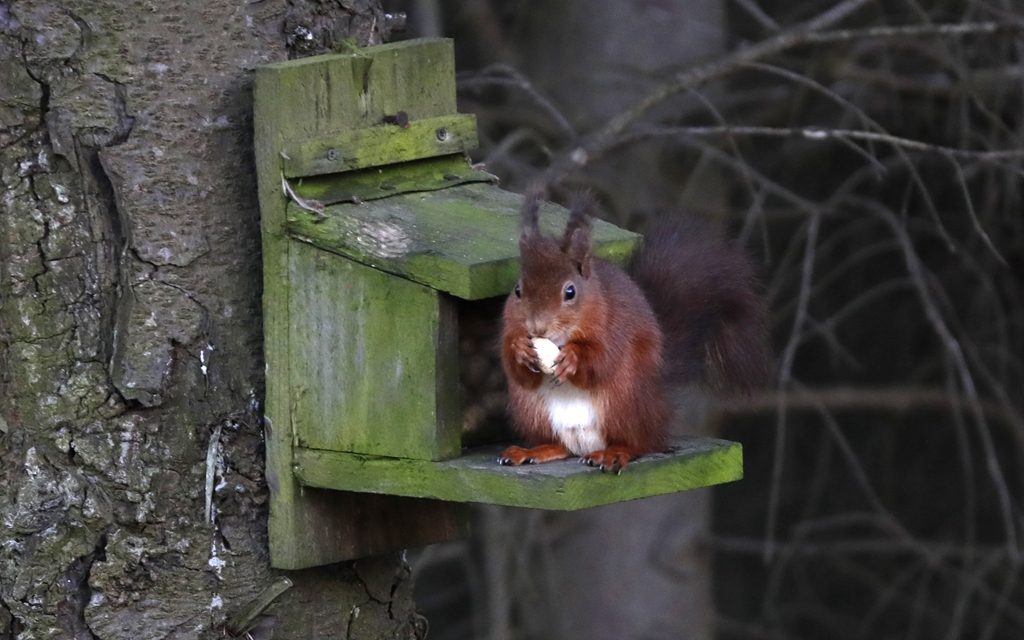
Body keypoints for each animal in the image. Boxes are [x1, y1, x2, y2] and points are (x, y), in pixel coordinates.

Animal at [497, 193, 770, 473]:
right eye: (517, 290)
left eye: (570, 291)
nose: (537, 327)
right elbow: (516, 369)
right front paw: (520, 348)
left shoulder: (615, 326)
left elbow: (602, 360)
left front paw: (572, 358)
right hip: (531, 410)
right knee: (560, 445)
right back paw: (533, 451)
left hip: (626, 401)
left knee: (641, 444)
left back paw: (614, 453)